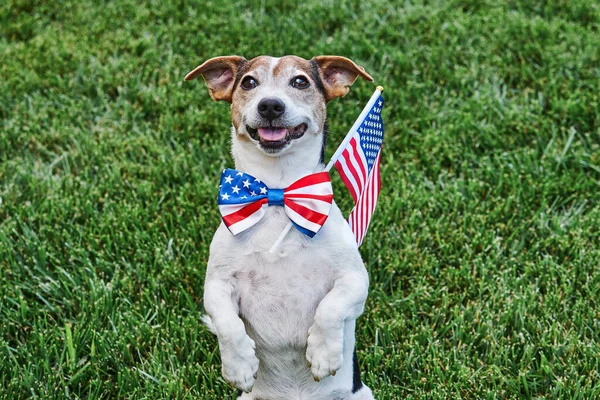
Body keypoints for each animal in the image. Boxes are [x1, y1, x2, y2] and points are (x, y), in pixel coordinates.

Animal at [185, 54, 376, 400]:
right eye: (248, 82)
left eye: (300, 81)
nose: (270, 105)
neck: (278, 195)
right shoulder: (217, 285)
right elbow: (226, 323)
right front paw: (239, 365)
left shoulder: (354, 280)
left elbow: (331, 307)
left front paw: (323, 353)